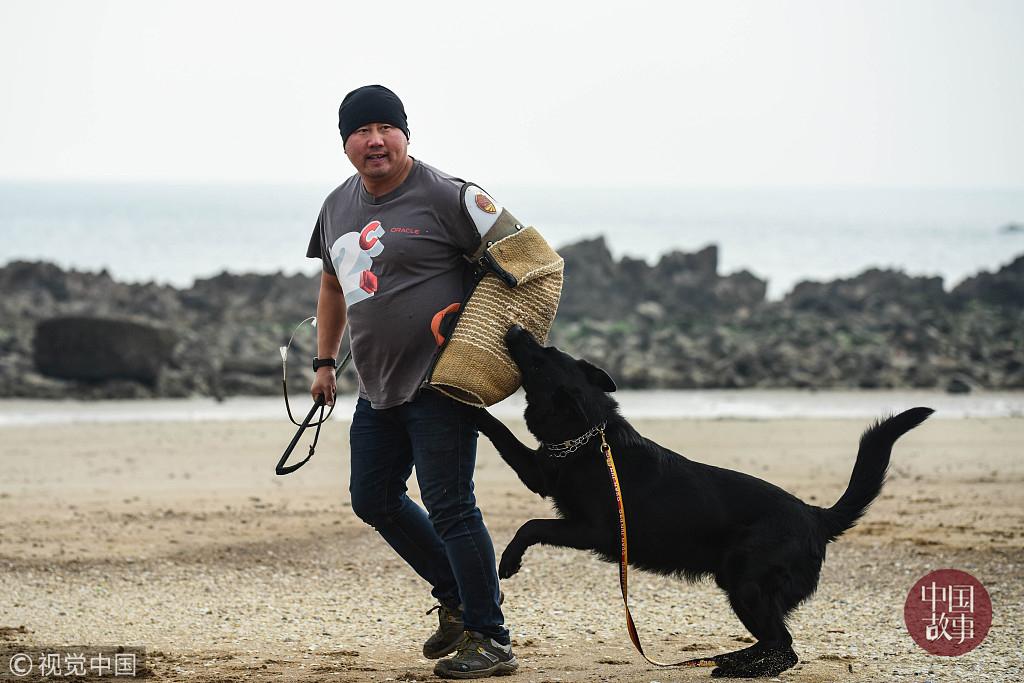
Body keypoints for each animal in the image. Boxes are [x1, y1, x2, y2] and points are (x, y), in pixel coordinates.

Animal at [475, 325, 933, 679]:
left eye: (541, 360)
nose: (515, 329)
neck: (589, 436)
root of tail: (814, 515)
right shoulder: (540, 473)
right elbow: (502, 433)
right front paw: (472, 411)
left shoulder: (591, 528)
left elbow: (531, 525)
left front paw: (508, 561)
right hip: (742, 588)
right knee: (776, 642)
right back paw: (732, 660)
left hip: (746, 586)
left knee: (784, 646)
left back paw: (740, 669)